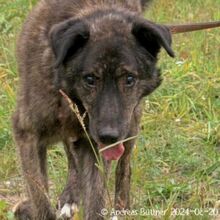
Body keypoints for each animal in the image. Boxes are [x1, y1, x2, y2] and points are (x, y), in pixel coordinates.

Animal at [13, 0, 174, 220]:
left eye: (129, 79)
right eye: (90, 79)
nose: (109, 136)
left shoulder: (95, 146)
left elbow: (96, 198)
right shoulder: (28, 135)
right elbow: (40, 198)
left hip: (131, 122)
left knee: (124, 168)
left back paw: (120, 210)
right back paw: (70, 197)